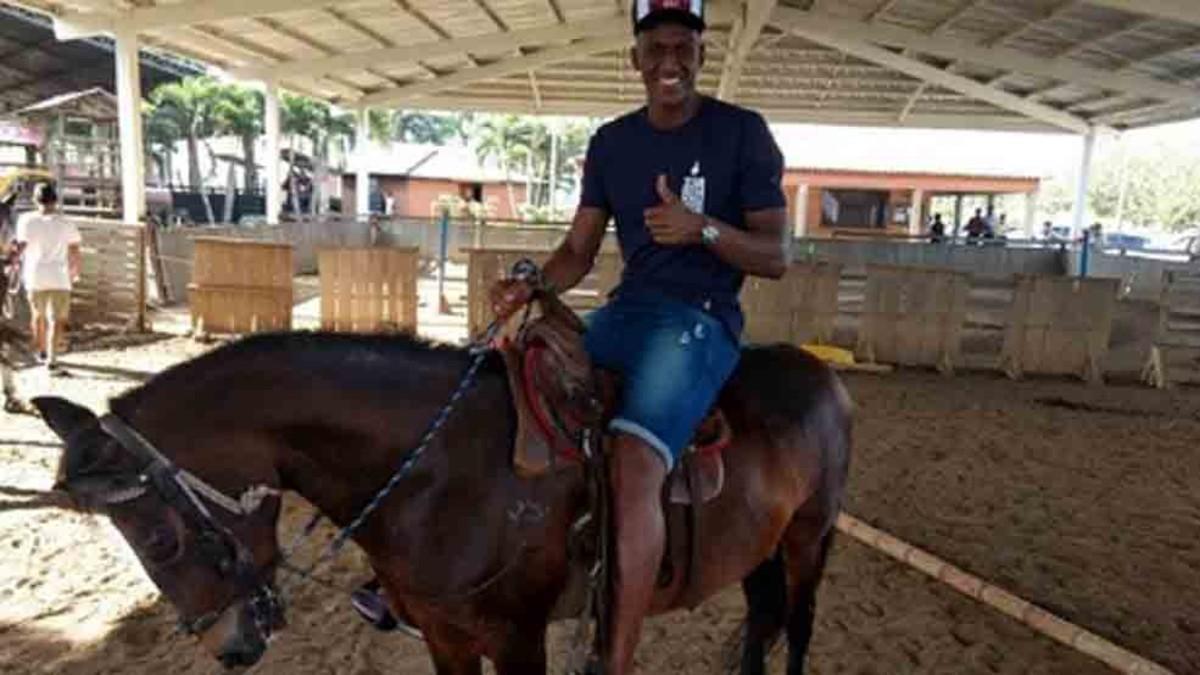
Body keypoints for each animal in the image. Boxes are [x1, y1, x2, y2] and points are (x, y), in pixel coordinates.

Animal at [32, 329, 849, 667]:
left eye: (160, 539)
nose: (227, 648)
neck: (446, 472)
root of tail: (821, 373)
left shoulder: (517, 639)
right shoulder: (445, 635)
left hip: (809, 540)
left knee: (800, 623)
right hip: (759, 549)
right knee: (761, 620)